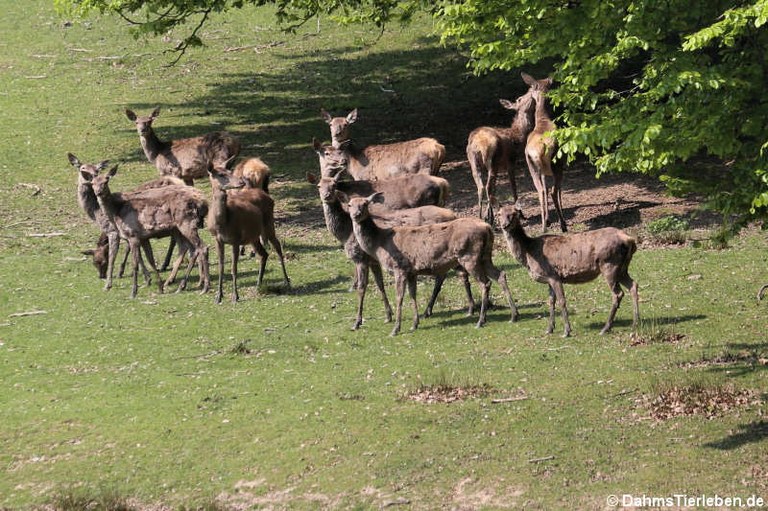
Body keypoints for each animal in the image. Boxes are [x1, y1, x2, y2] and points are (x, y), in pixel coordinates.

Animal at [206, 165, 290, 304]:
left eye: (230, 171)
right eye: (220, 174)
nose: (241, 182)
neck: (222, 223)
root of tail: (267, 196)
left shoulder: (235, 238)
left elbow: (234, 268)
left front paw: (235, 296)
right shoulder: (217, 240)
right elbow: (221, 267)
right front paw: (218, 296)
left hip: (269, 224)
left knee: (277, 246)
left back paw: (286, 280)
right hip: (253, 237)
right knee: (263, 254)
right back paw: (258, 284)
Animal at [316, 108, 444, 180]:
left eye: (346, 124)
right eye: (331, 124)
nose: (337, 133)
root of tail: (439, 148)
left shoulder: (367, 178)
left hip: (424, 169)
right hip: (436, 170)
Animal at [346, 192, 516, 336]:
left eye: (365, 204)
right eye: (349, 204)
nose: (356, 215)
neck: (379, 244)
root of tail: (488, 228)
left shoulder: (399, 268)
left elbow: (399, 297)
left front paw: (395, 329)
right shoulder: (412, 271)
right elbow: (412, 294)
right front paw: (414, 324)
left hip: (469, 256)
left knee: (485, 283)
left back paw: (481, 321)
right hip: (485, 256)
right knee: (500, 275)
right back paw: (513, 315)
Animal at [496, 202, 640, 338]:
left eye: (514, 213)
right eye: (499, 214)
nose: (504, 225)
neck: (529, 253)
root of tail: (629, 239)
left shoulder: (554, 276)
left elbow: (562, 301)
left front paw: (566, 331)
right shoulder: (549, 279)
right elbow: (551, 301)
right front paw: (549, 329)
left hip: (609, 264)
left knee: (618, 294)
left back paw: (606, 328)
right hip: (622, 268)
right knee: (633, 285)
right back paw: (635, 323)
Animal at [524, 74, 568, 234]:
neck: (543, 121)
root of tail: (540, 150)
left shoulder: (542, 171)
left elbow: (545, 188)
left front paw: (548, 220)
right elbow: (558, 190)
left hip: (532, 166)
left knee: (541, 191)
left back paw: (543, 226)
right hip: (557, 163)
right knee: (554, 191)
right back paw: (563, 225)